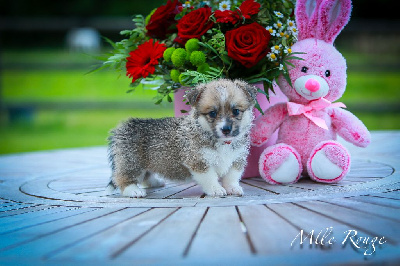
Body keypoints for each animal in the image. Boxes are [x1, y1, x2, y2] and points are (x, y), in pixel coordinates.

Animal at [106, 78, 256, 196]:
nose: (226, 129)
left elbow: (232, 177)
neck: (222, 142)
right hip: (131, 162)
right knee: (122, 178)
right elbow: (210, 178)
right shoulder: (199, 162)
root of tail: (120, 129)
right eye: (212, 113)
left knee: (145, 176)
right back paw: (133, 190)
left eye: (236, 111)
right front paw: (216, 189)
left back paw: (154, 182)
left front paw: (233, 188)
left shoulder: (237, 159)